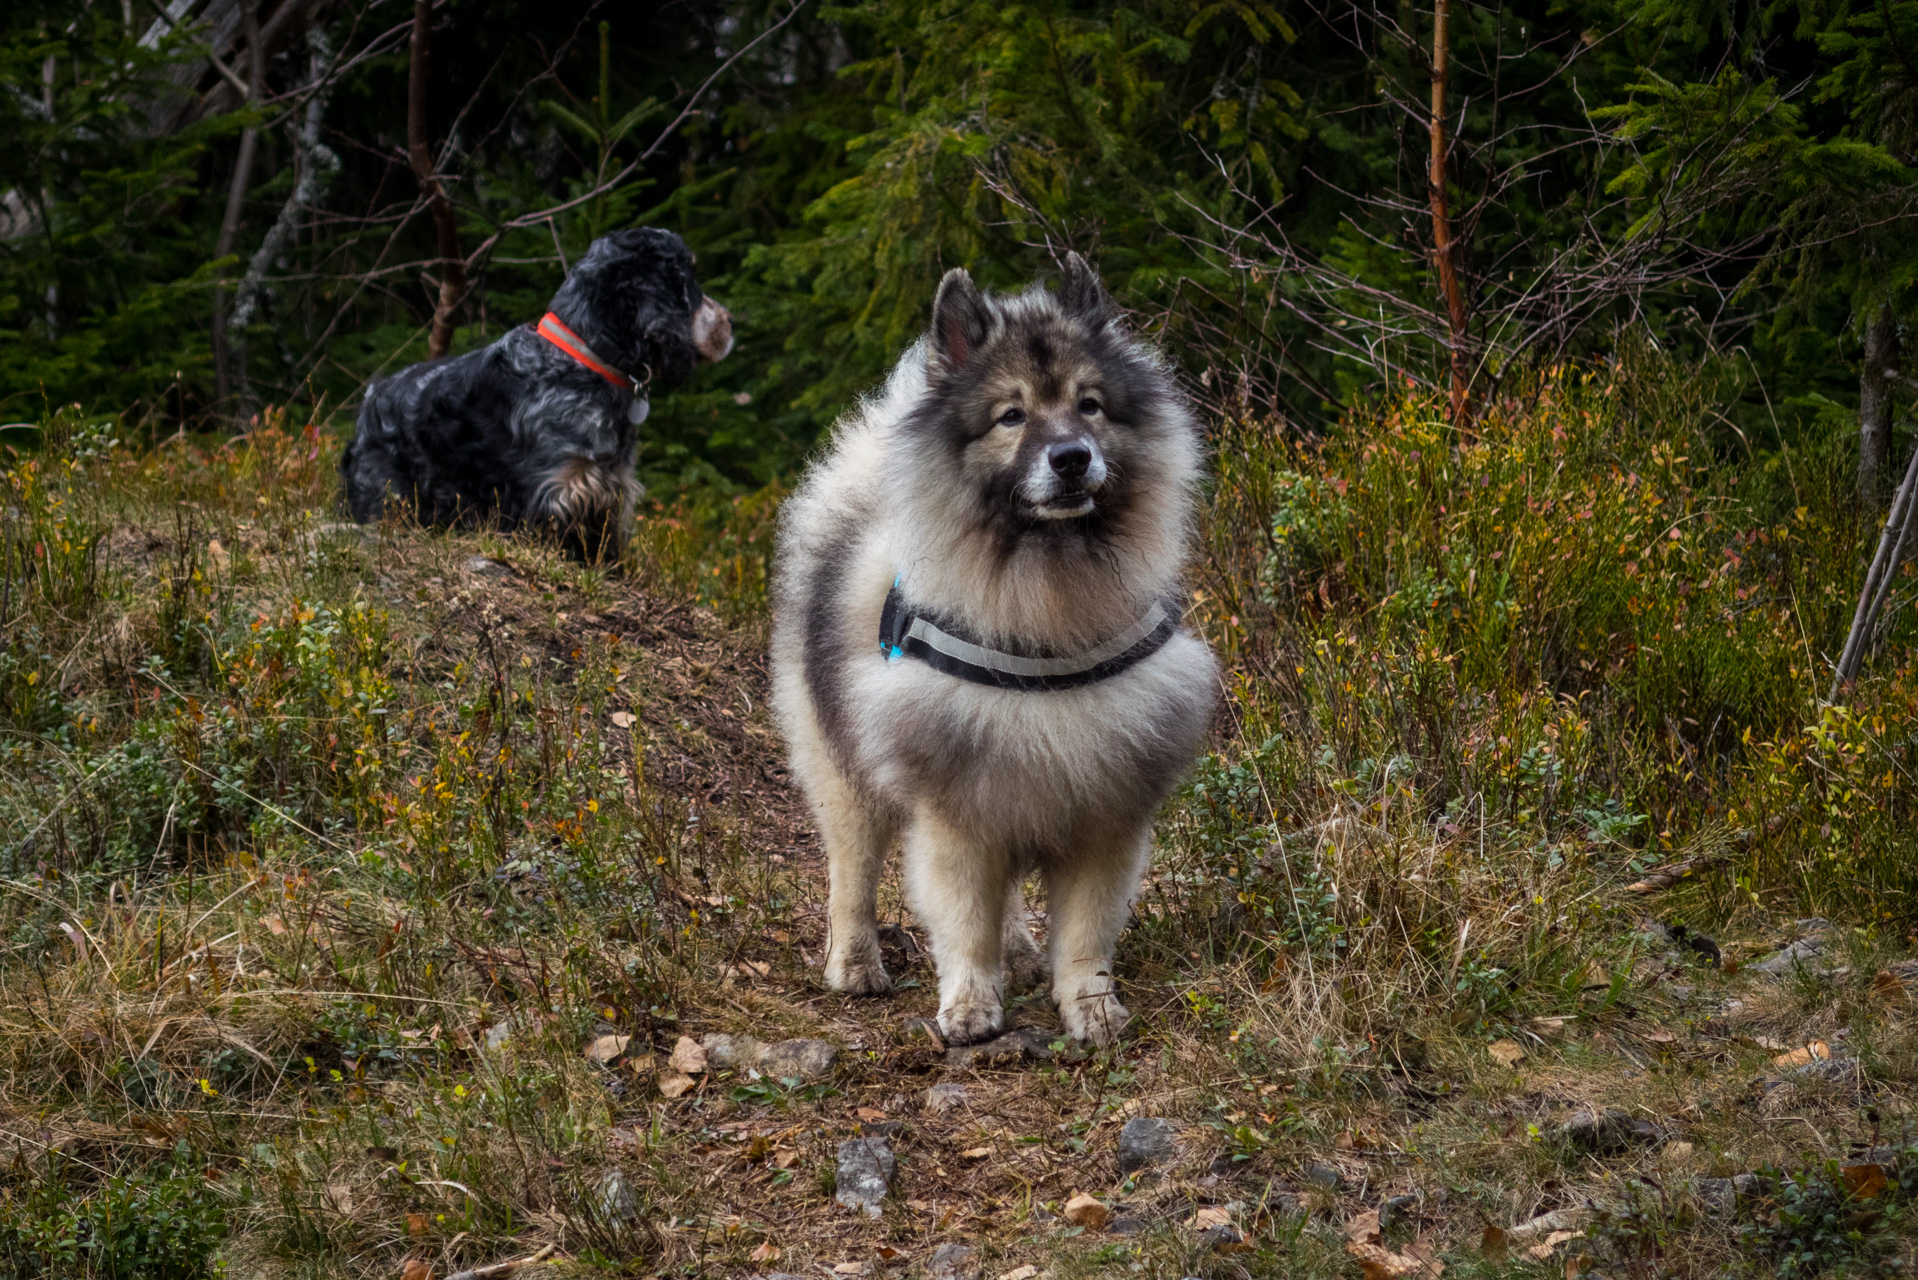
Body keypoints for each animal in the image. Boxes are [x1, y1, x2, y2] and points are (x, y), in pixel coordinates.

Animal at [341, 224, 728, 560]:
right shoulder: (556, 490)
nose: (731, 321)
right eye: (690, 280)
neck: (584, 360)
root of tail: (371, 396)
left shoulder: (607, 492)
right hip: (388, 491)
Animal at [767, 255, 1204, 1043]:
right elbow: (964, 920)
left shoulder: (1102, 807)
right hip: (846, 775)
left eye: (1090, 406)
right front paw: (970, 1006)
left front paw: (1090, 1005)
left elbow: (1084, 931)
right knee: (852, 873)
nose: (1071, 458)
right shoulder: (956, 810)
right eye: (1012, 415)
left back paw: (1022, 954)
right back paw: (855, 965)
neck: (1048, 601)